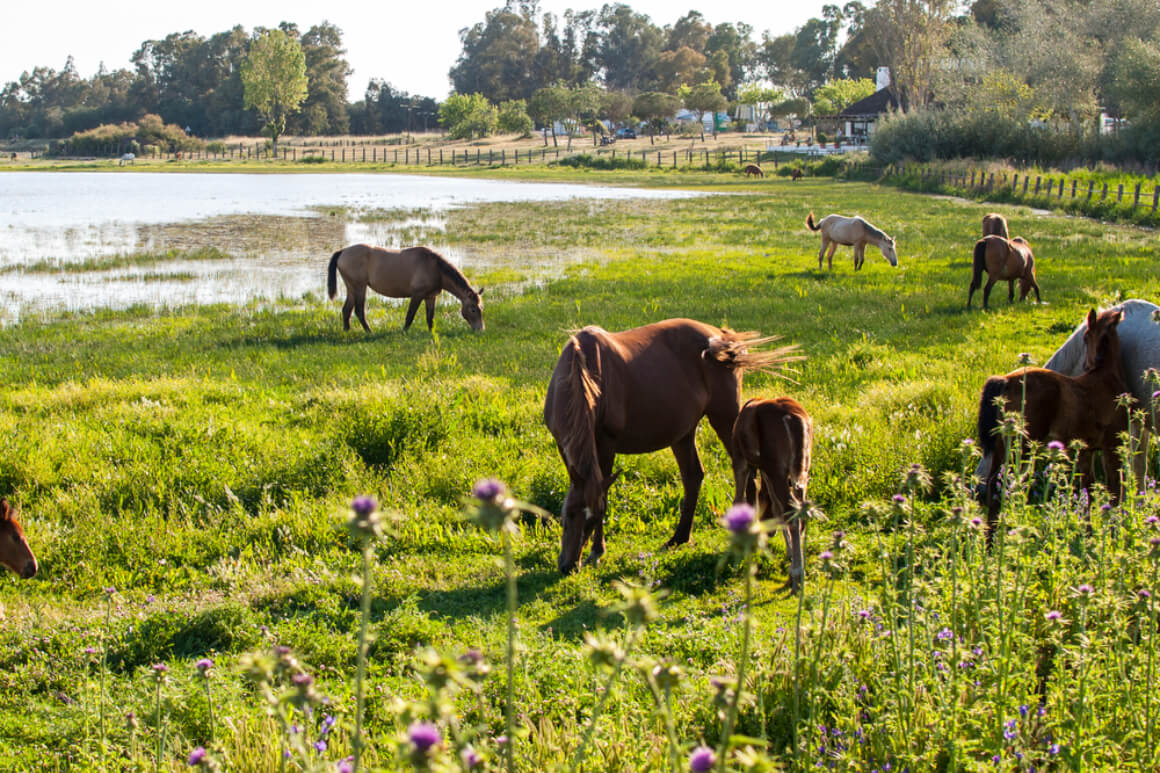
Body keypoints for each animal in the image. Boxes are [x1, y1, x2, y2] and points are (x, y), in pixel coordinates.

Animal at [327, 244, 484, 331]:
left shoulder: (430, 296)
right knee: (359, 310)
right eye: (473, 309)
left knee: (346, 310)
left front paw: (431, 332)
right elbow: (410, 315)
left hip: (351, 287)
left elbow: (430, 317)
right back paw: (369, 331)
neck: (435, 268)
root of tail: (343, 251)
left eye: (481, 308)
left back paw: (347, 331)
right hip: (359, 286)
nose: (481, 329)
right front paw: (404, 331)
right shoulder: (417, 295)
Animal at [540, 315, 798, 575]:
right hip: (684, 433)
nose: (569, 566)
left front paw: (597, 551)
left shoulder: (606, 444)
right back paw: (680, 537)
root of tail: (724, 337)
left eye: (592, 521)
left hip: (725, 419)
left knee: (747, 472)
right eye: (569, 515)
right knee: (694, 476)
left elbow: (602, 494)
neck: (582, 371)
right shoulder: (565, 445)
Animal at [733, 396, 816, 589]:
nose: (770, 533)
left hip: (776, 469)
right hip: (801, 470)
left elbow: (739, 498)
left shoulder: (742, 461)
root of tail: (793, 419)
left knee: (792, 510)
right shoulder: (767, 471)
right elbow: (778, 508)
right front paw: (789, 551)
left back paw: (796, 574)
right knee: (800, 510)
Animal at [974, 306, 1127, 529]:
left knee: (994, 486)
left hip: (1004, 444)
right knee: (1000, 487)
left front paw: (1088, 532)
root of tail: (1006, 380)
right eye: (1085, 337)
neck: (1105, 377)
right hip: (1021, 446)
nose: (1087, 365)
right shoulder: (1111, 447)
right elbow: (1113, 490)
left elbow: (1088, 491)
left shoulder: (1086, 451)